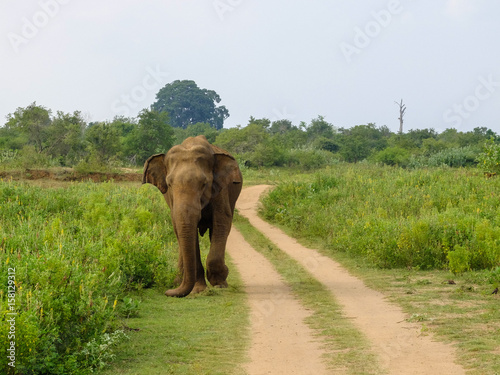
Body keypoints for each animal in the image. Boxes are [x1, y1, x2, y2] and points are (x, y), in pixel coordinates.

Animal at [142, 137, 243, 298]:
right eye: (169, 184)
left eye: (204, 184)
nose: (167, 292)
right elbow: (182, 228)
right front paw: (198, 289)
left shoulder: (221, 190)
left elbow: (222, 222)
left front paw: (219, 284)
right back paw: (178, 280)